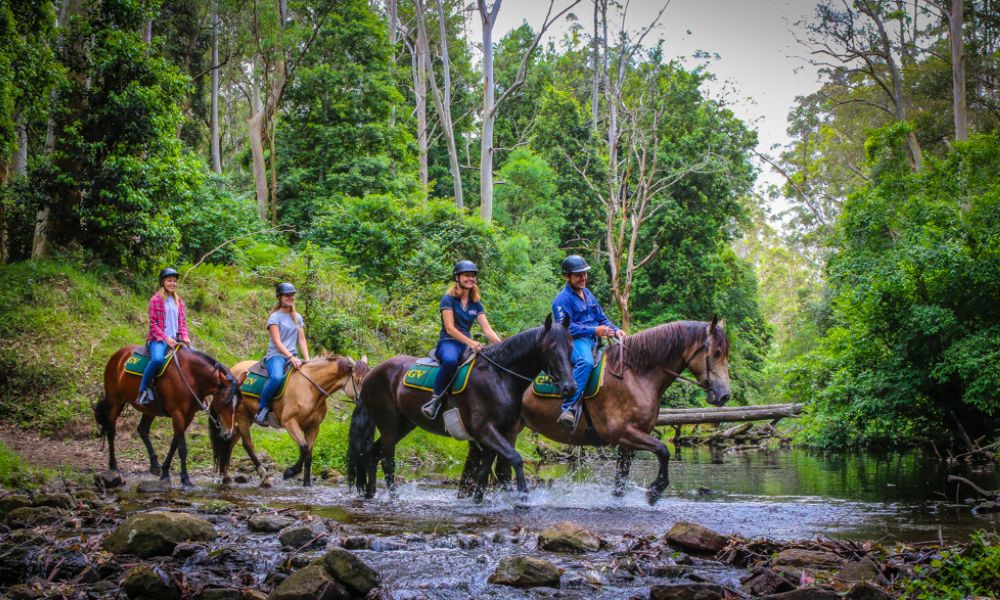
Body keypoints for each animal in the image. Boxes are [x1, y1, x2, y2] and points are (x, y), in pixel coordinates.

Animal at [96, 344, 242, 490]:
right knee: (111, 429)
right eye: (225, 401)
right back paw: (114, 465)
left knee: (142, 429)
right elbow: (182, 449)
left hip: (149, 409)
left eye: (238, 404)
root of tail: (118, 354)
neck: (190, 376)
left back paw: (155, 465)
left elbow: (174, 444)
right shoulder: (177, 414)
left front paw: (165, 473)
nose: (228, 434)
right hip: (115, 400)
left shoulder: (188, 416)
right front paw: (185, 479)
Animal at [221, 352, 370, 488]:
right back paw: (263, 474)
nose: (366, 402)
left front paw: (307, 484)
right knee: (248, 445)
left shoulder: (313, 427)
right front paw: (290, 472)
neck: (310, 389)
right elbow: (303, 447)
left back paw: (226, 475)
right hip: (242, 415)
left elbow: (309, 454)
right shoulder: (290, 423)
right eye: (358, 380)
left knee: (232, 442)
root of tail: (233, 369)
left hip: (248, 416)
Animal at [346, 316, 576, 504]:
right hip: (389, 425)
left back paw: (370, 494)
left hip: (404, 425)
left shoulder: (496, 433)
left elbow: (483, 472)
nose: (570, 387)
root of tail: (372, 373)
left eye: (571, 348)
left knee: (372, 454)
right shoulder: (485, 430)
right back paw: (394, 498)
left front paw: (477, 501)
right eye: (551, 348)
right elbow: (515, 459)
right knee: (387, 460)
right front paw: (523, 497)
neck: (499, 377)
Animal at [460, 318, 736, 506]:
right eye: (716, 353)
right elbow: (664, 450)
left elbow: (621, 479)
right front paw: (654, 491)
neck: (636, 375)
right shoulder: (623, 434)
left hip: (508, 429)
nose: (724, 395)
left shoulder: (630, 441)